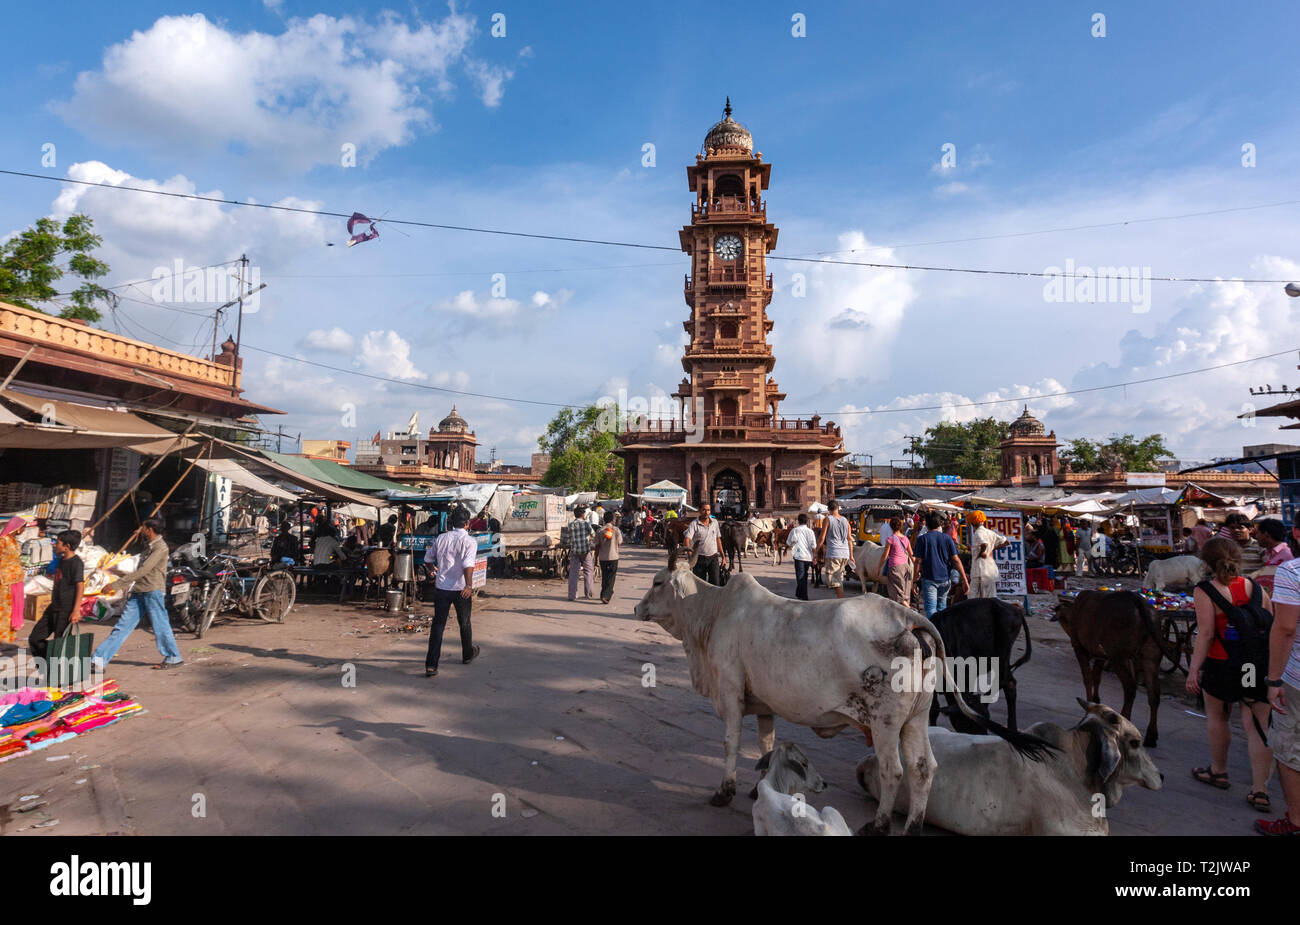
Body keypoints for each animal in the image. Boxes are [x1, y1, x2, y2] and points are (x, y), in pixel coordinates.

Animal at [930, 595, 1029, 732]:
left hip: (1003, 655)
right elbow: (933, 708)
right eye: (969, 723)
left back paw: (1012, 728)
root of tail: (1016, 610)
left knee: (1008, 683)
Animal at [1050, 592, 1175, 753]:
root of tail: (1138, 601)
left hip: (1117, 656)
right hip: (1150, 656)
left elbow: (1088, 678)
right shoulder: (1102, 656)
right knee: (1153, 694)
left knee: (1130, 687)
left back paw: (1124, 722)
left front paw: (1089, 707)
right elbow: (1097, 677)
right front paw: (1096, 701)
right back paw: (1151, 735)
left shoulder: (1079, 648)